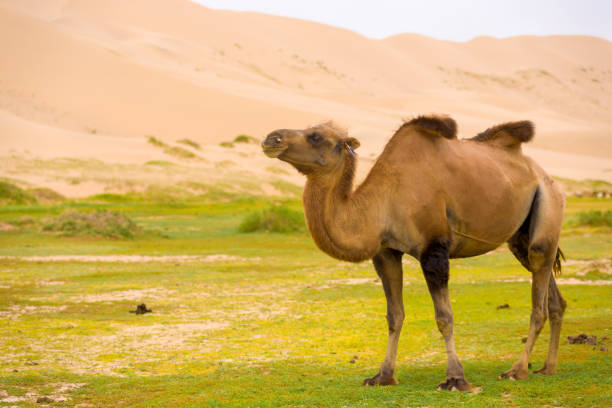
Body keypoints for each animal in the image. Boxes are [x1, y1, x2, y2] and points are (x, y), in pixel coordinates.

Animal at [260, 115, 568, 392]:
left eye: (315, 136)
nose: (271, 138)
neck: (382, 203)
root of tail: (547, 176)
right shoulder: (386, 252)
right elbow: (394, 316)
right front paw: (382, 376)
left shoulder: (434, 248)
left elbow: (444, 317)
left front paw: (455, 379)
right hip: (520, 236)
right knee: (552, 293)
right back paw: (547, 367)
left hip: (549, 205)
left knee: (539, 298)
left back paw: (517, 370)